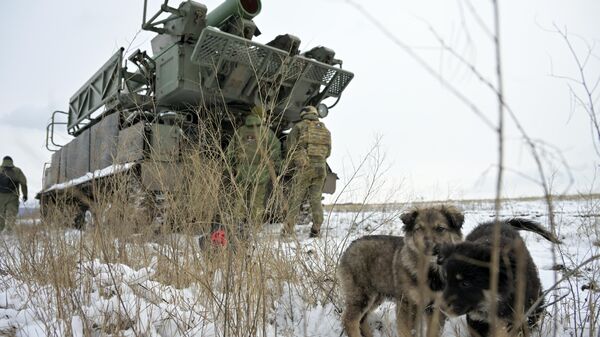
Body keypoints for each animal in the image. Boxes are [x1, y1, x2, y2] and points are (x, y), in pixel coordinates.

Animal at [338, 205, 464, 336]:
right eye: (419, 229)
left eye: (440, 228)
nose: (428, 246)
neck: (430, 270)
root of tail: (349, 246)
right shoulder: (408, 304)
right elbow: (407, 332)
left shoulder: (435, 307)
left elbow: (433, 332)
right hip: (361, 294)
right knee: (349, 320)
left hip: (377, 294)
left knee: (362, 319)